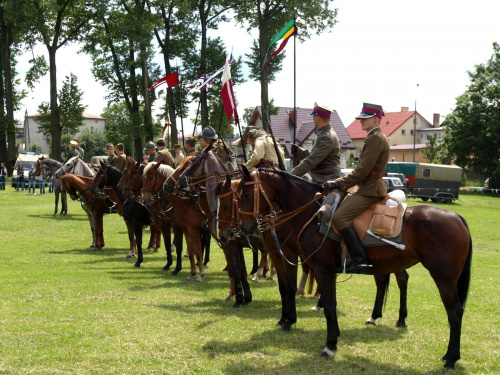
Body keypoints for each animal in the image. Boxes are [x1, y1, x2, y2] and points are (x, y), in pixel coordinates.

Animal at [238, 167, 472, 370]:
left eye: (247, 194)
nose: (244, 228)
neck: (312, 216)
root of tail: (456, 217)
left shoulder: (319, 268)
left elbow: (326, 305)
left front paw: (329, 345)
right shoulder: (320, 269)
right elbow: (327, 303)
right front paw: (330, 337)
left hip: (443, 278)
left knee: (454, 312)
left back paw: (451, 357)